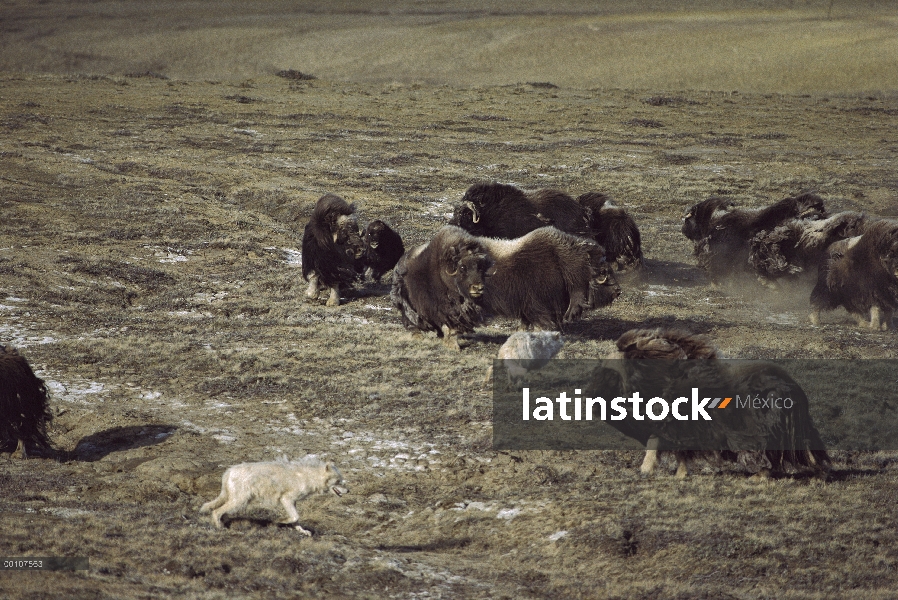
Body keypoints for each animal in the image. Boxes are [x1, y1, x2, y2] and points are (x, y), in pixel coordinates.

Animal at [200, 458, 346, 536]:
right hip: (240, 501)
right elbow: (294, 517)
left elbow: (296, 519)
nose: (348, 490)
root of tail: (228, 471)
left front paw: (302, 531)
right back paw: (220, 528)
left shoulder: (292, 502)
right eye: (339, 481)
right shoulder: (286, 499)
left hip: (238, 501)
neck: (310, 477)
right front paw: (280, 521)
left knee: (221, 511)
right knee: (216, 511)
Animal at [592, 328, 828, 478]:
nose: (593, 401)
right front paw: (678, 475)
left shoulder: (674, 426)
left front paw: (647, 470)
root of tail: (792, 387)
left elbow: (657, 445)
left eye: (610, 373)